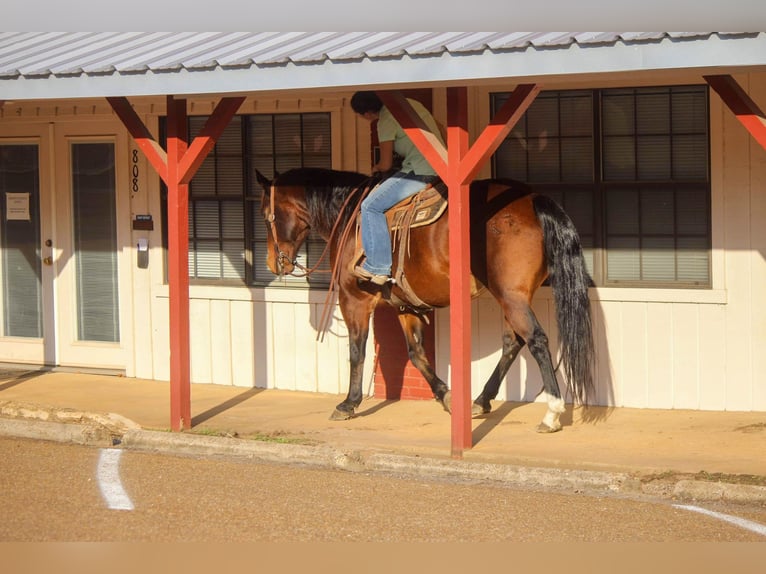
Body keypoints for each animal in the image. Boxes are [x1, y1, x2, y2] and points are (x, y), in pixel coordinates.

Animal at [258, 169, 592, 434]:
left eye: (264, 214)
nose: (274, 263)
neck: (350, 216)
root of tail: (532, 198)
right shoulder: (406, 306)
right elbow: (416, 353)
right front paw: (446, 395)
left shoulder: (353, 298)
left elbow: (357, 351)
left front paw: (348, 404)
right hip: (514, 296)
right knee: (514, 342)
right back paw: (481, 401)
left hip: (511, 295)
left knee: (535, 340)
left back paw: (551, 414)